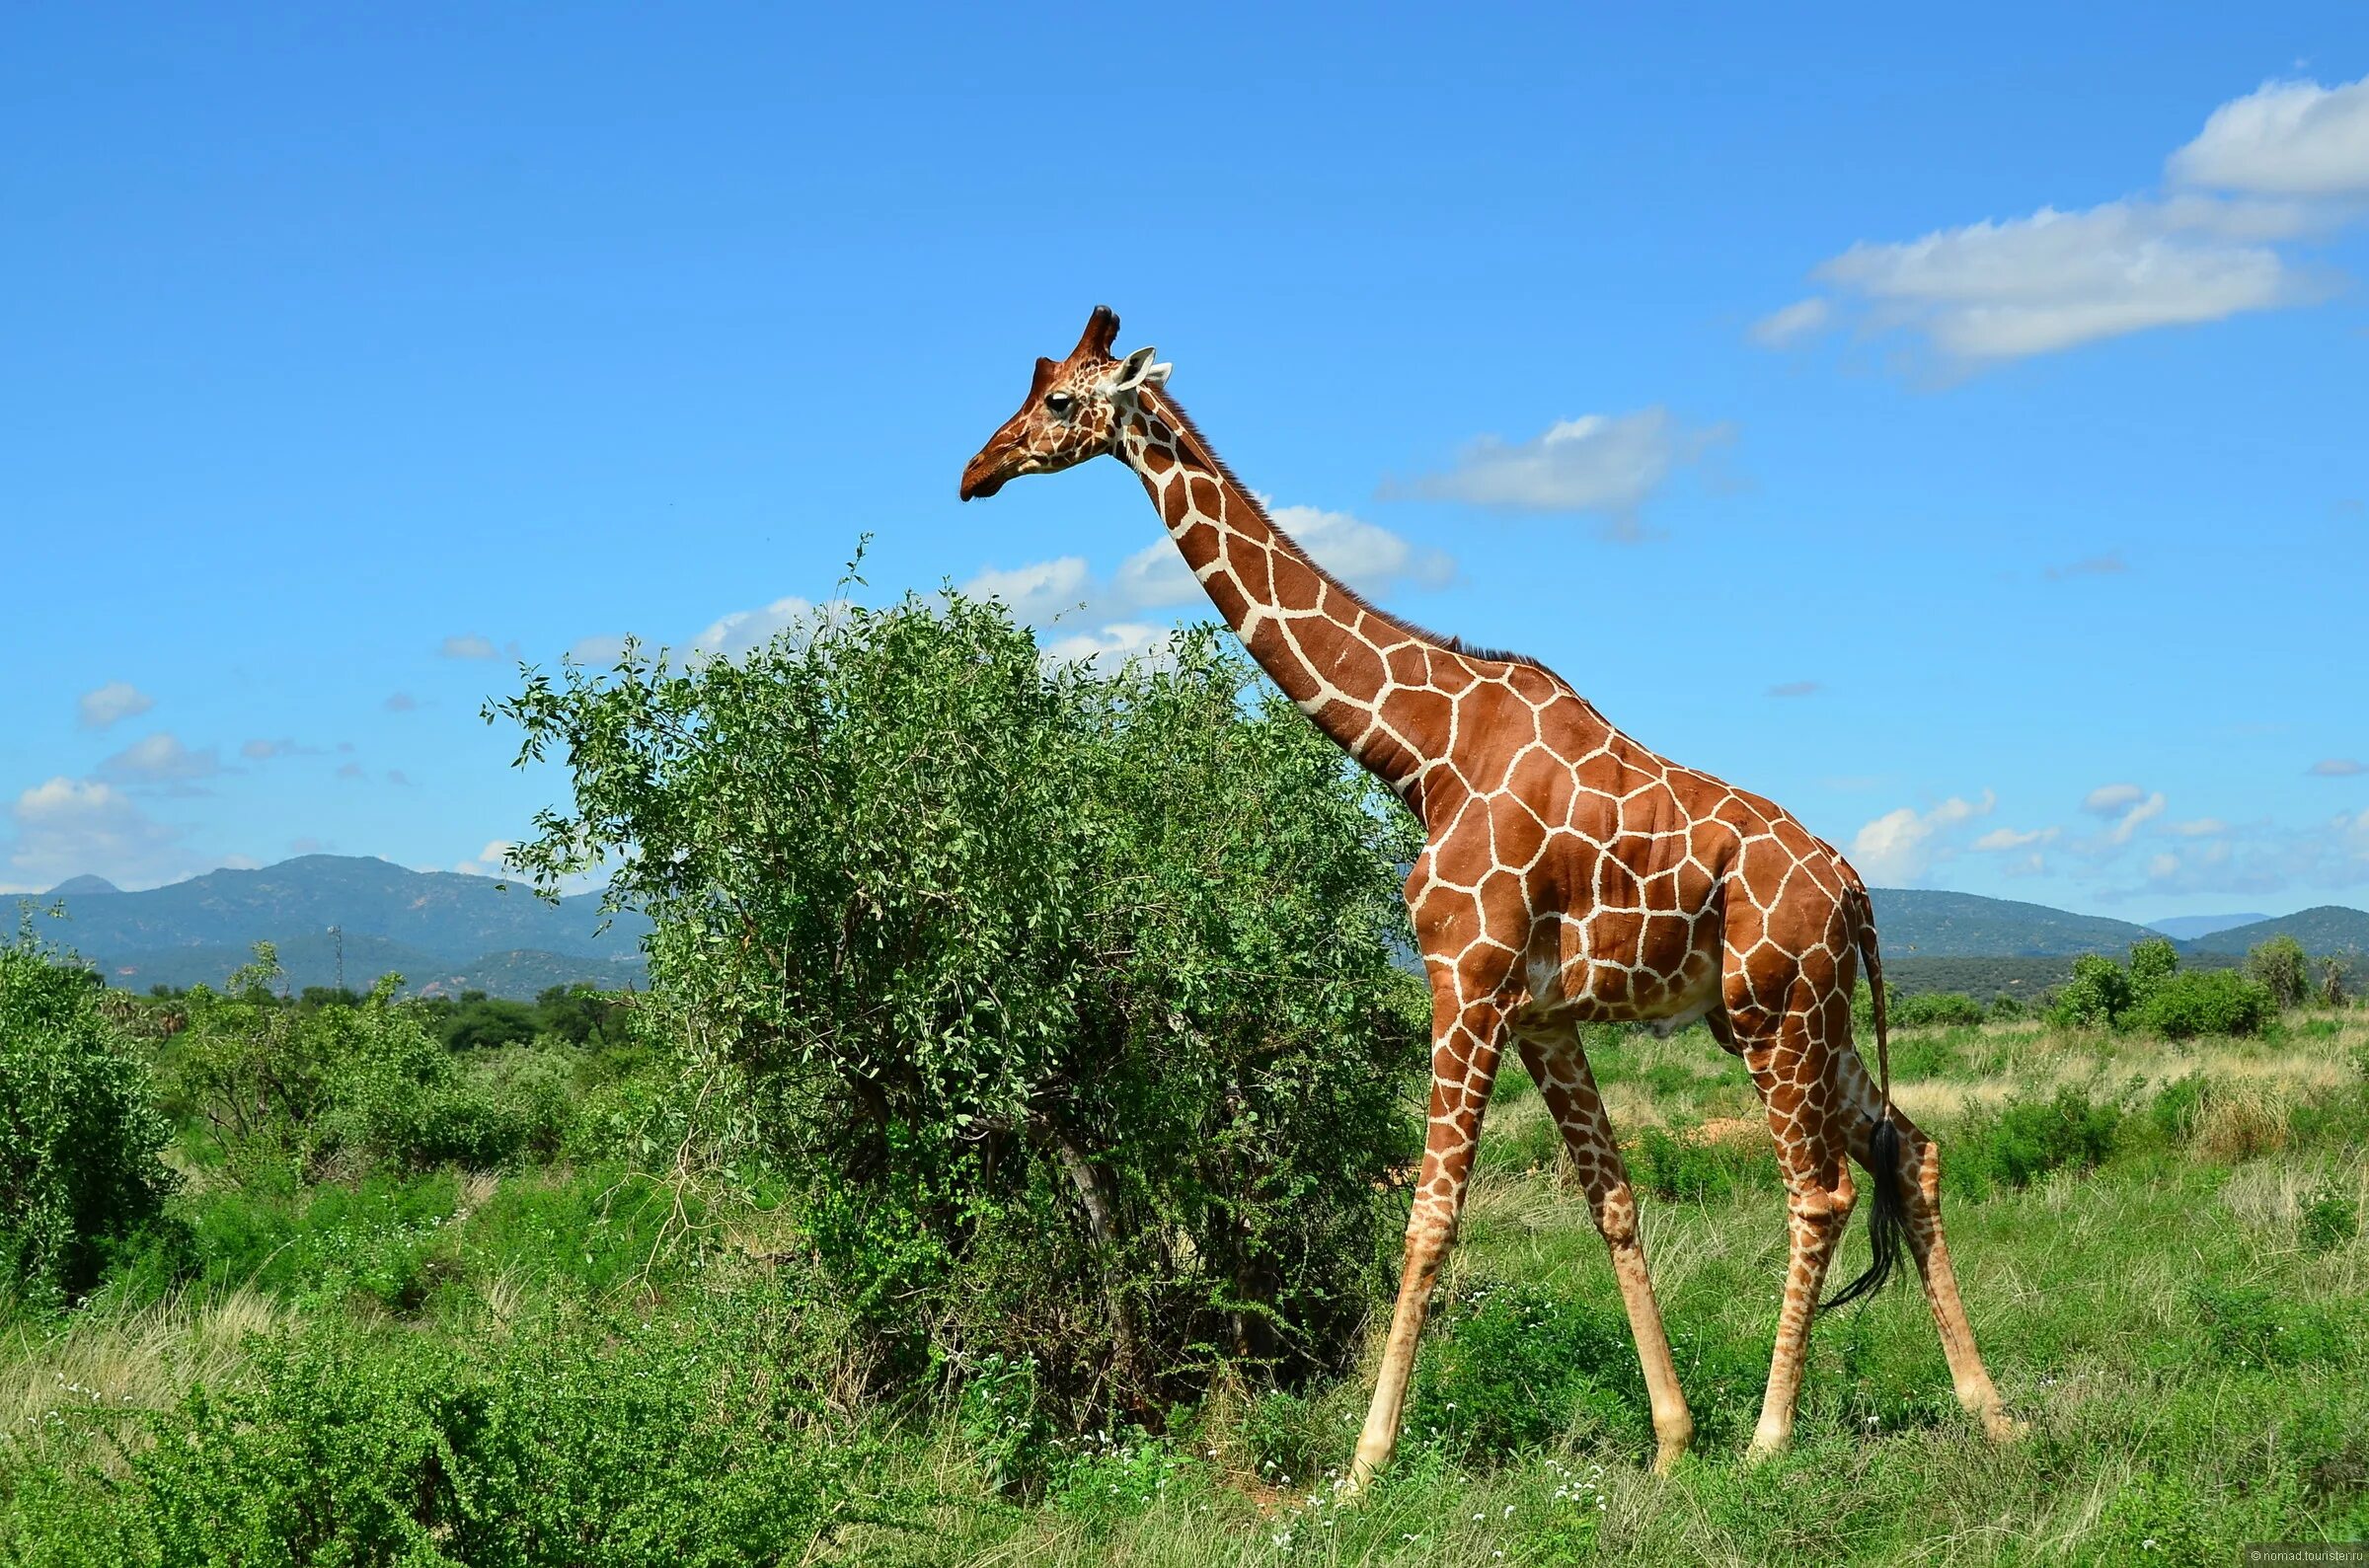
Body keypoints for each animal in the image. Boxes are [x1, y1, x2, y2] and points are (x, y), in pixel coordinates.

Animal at [952, 310, 2009, 1496]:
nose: (974, 471)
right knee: (1909, 1149)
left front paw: (1364, 1463)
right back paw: (1991, 1409)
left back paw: (1773, 1435)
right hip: (1796, 1017)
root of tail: (1859, 889)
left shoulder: (1464, 979)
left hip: (1776, 1013)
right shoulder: (1542, 1012)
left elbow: (1428, 1216)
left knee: (1819, 1190)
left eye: (1055, 401)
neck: (1423, 751)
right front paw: (1671, 1438)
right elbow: (1612, 1201)